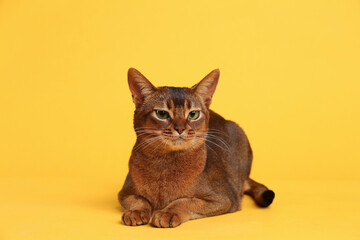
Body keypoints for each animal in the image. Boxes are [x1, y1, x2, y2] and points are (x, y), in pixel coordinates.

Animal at [116, 68, 274, 228]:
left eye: (193, 114)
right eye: (161, 113)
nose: (180, 128)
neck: (165, 163)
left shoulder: (224, 198)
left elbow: (185, 201)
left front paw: (168, 213)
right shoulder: (124, 193)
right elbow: (139, 199)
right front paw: (136, 212)